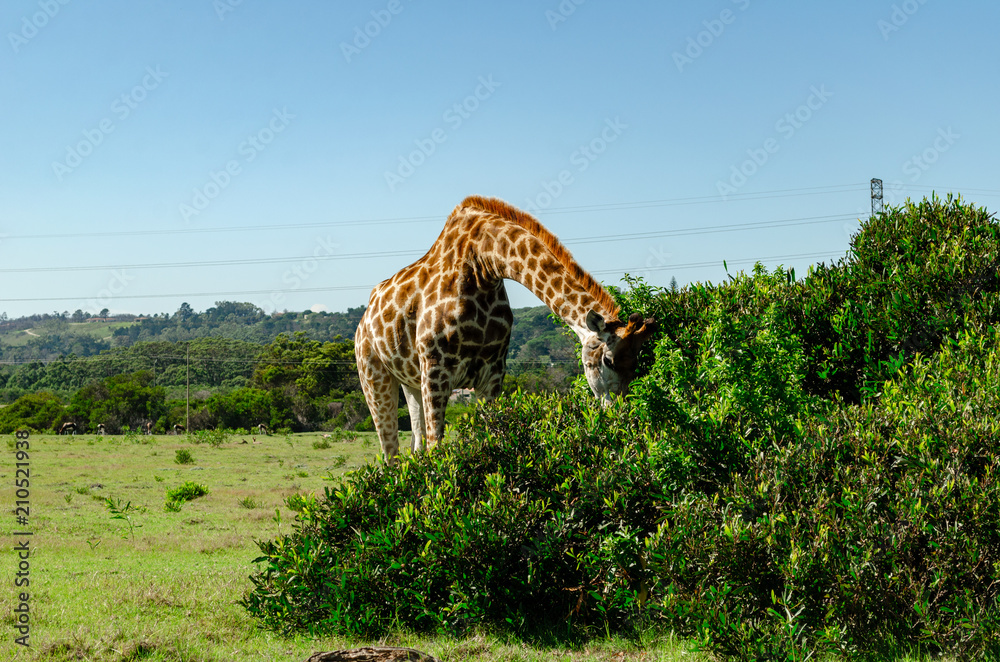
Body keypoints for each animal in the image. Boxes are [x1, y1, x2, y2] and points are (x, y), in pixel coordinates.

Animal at [355, 195, 657, 462]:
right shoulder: (436, 368)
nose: (620, 417)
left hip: (410, 381)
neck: (483, 264)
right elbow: (437, 447)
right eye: (608, 361)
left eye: (636, 365)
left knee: (414, 446)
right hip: (373, 376)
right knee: (391, 454)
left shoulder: (493, 372)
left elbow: (487, 440)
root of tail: (362, 323)